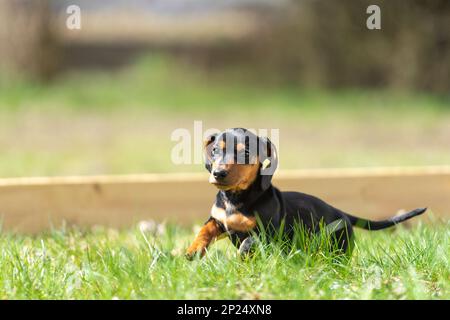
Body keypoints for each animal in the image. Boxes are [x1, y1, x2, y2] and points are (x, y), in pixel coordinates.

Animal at [185, 127, 426, 258]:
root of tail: (343, 213)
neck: (235, 199)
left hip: (338, 246)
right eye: (215, 151)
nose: (218, 173)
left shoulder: (268, 233)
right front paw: (193, 250)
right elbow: (205, 229)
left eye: (245, 153)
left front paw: (243, 253)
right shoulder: (218, 220)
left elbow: (250, 241)